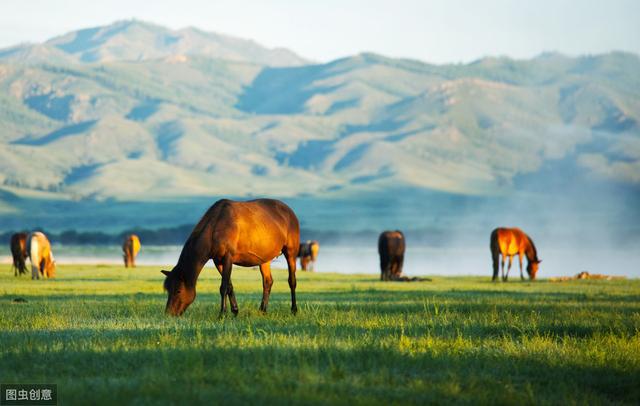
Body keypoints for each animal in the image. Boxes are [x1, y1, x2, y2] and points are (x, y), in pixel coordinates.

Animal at [160, 198, 300, 316]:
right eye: (168, 289)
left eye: (178, 291)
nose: (169, 313)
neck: (215, 226)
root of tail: (289, 211)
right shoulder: (218, 261)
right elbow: (229, 286)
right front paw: (235, 311)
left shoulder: (228, 258)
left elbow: (223, 287)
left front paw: (222, 313)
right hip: (264, 259)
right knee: (267, 282)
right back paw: (263, 310)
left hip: (291, 252)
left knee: (292, 281)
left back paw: (294, 309)